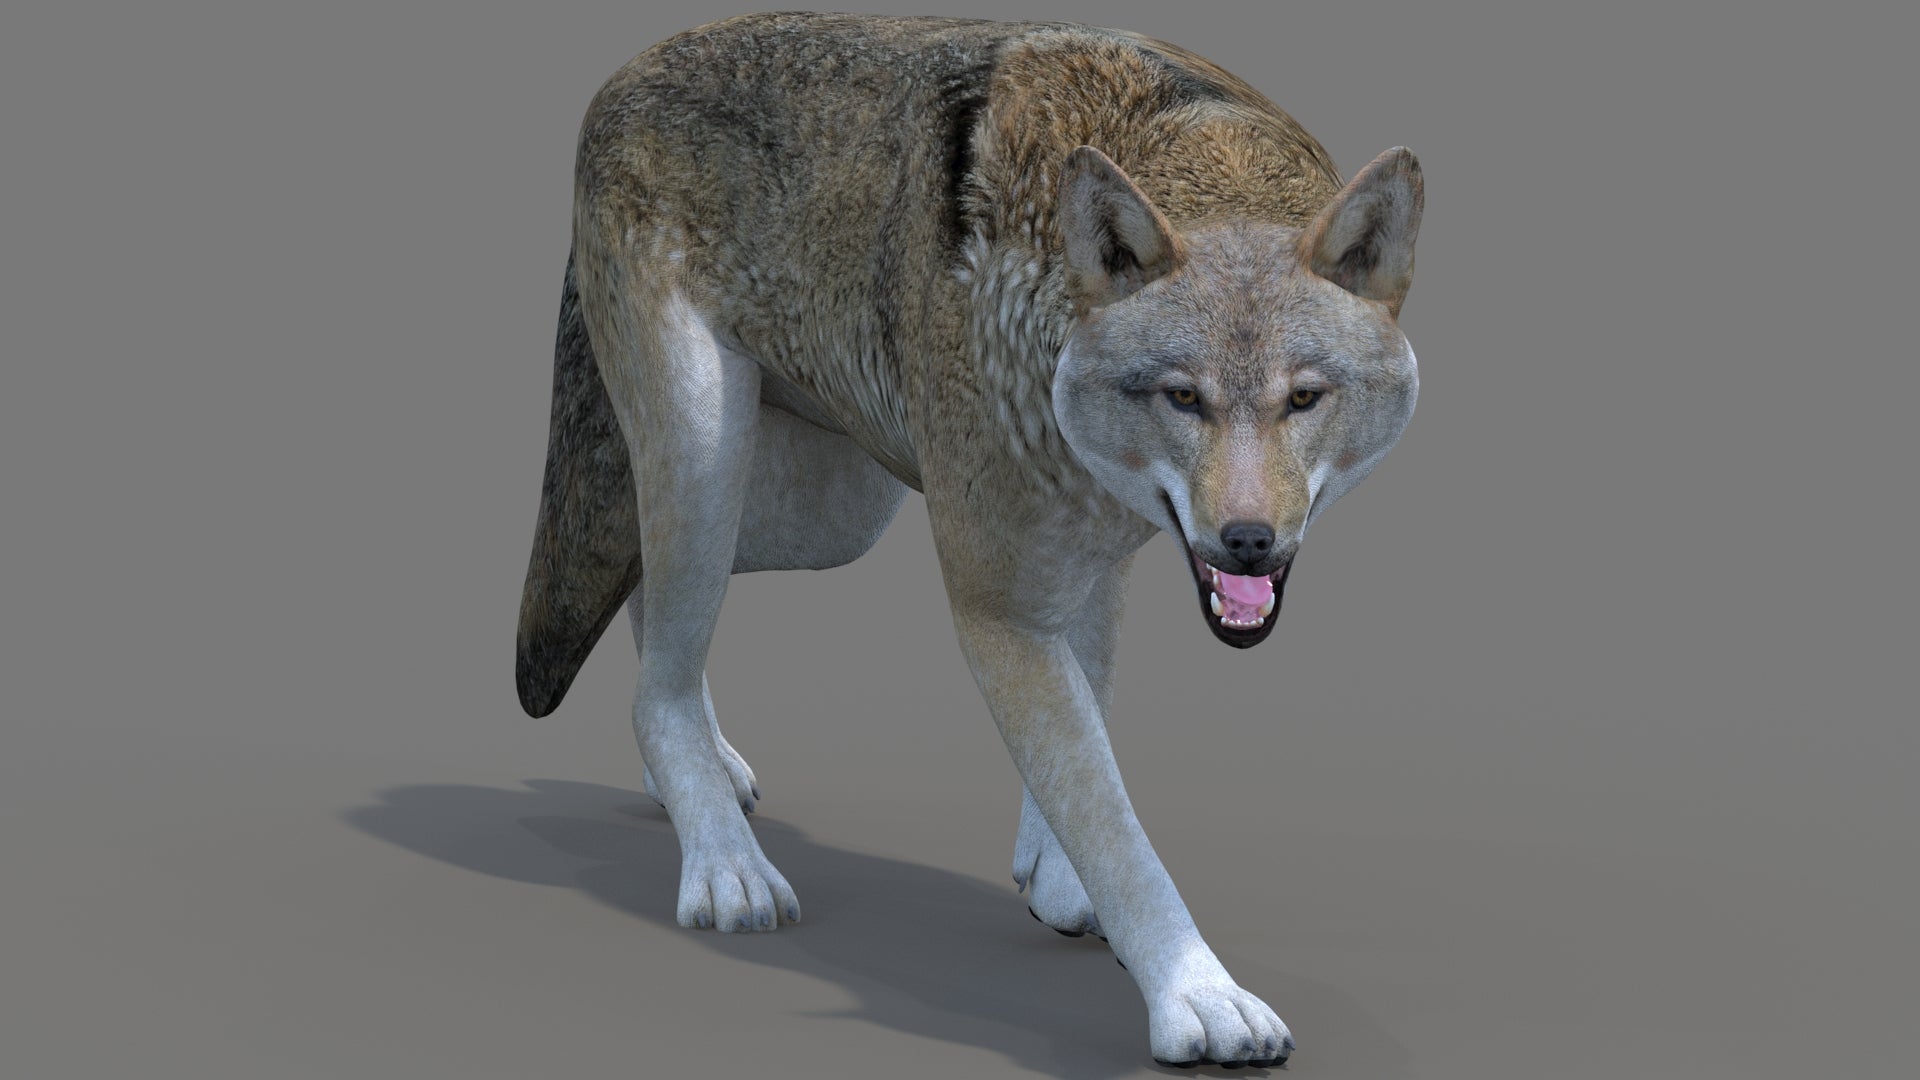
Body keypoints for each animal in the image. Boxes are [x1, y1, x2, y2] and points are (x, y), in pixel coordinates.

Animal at [515, 13, 1421, 1067]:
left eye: (1304, 399)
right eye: (1183, 398)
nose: (1248, 542)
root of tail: (622, 73)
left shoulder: (1099, 552)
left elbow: (1089, 727)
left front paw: (1055, 877)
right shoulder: (999, 606)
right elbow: (1114, 824)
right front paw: (1198, 995)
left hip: (823, 511)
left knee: (649, 599)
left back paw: (699, 774)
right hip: (713, 457)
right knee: (655, 672)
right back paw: (722, 862)